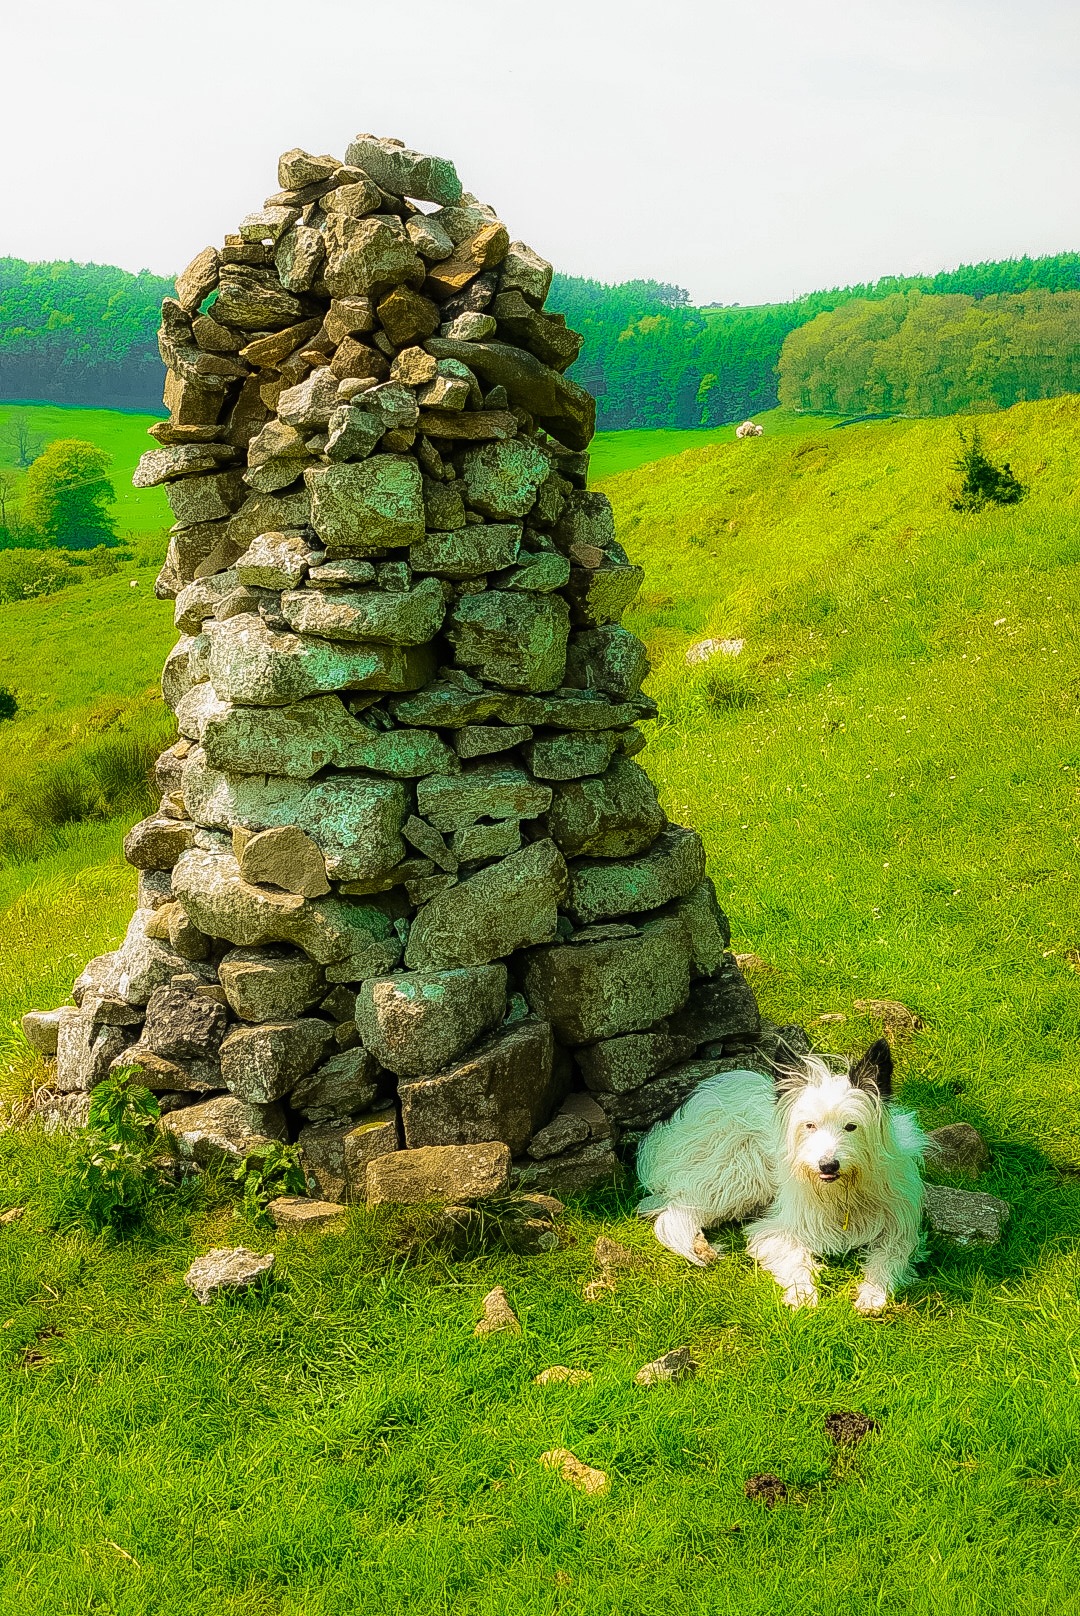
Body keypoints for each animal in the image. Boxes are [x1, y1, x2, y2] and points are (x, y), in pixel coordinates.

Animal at [633, 1040, 931, 1305]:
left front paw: (873, 1294)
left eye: (851, 1126)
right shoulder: (775, 1230)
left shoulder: (899, 1230)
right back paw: (698, 1246)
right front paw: (802, 1294)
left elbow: (889, 1258)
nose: (828, 1165)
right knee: (675, 1211)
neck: (841, 1193)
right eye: (809, 1125)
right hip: (740, 1174)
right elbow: (795, 1258)